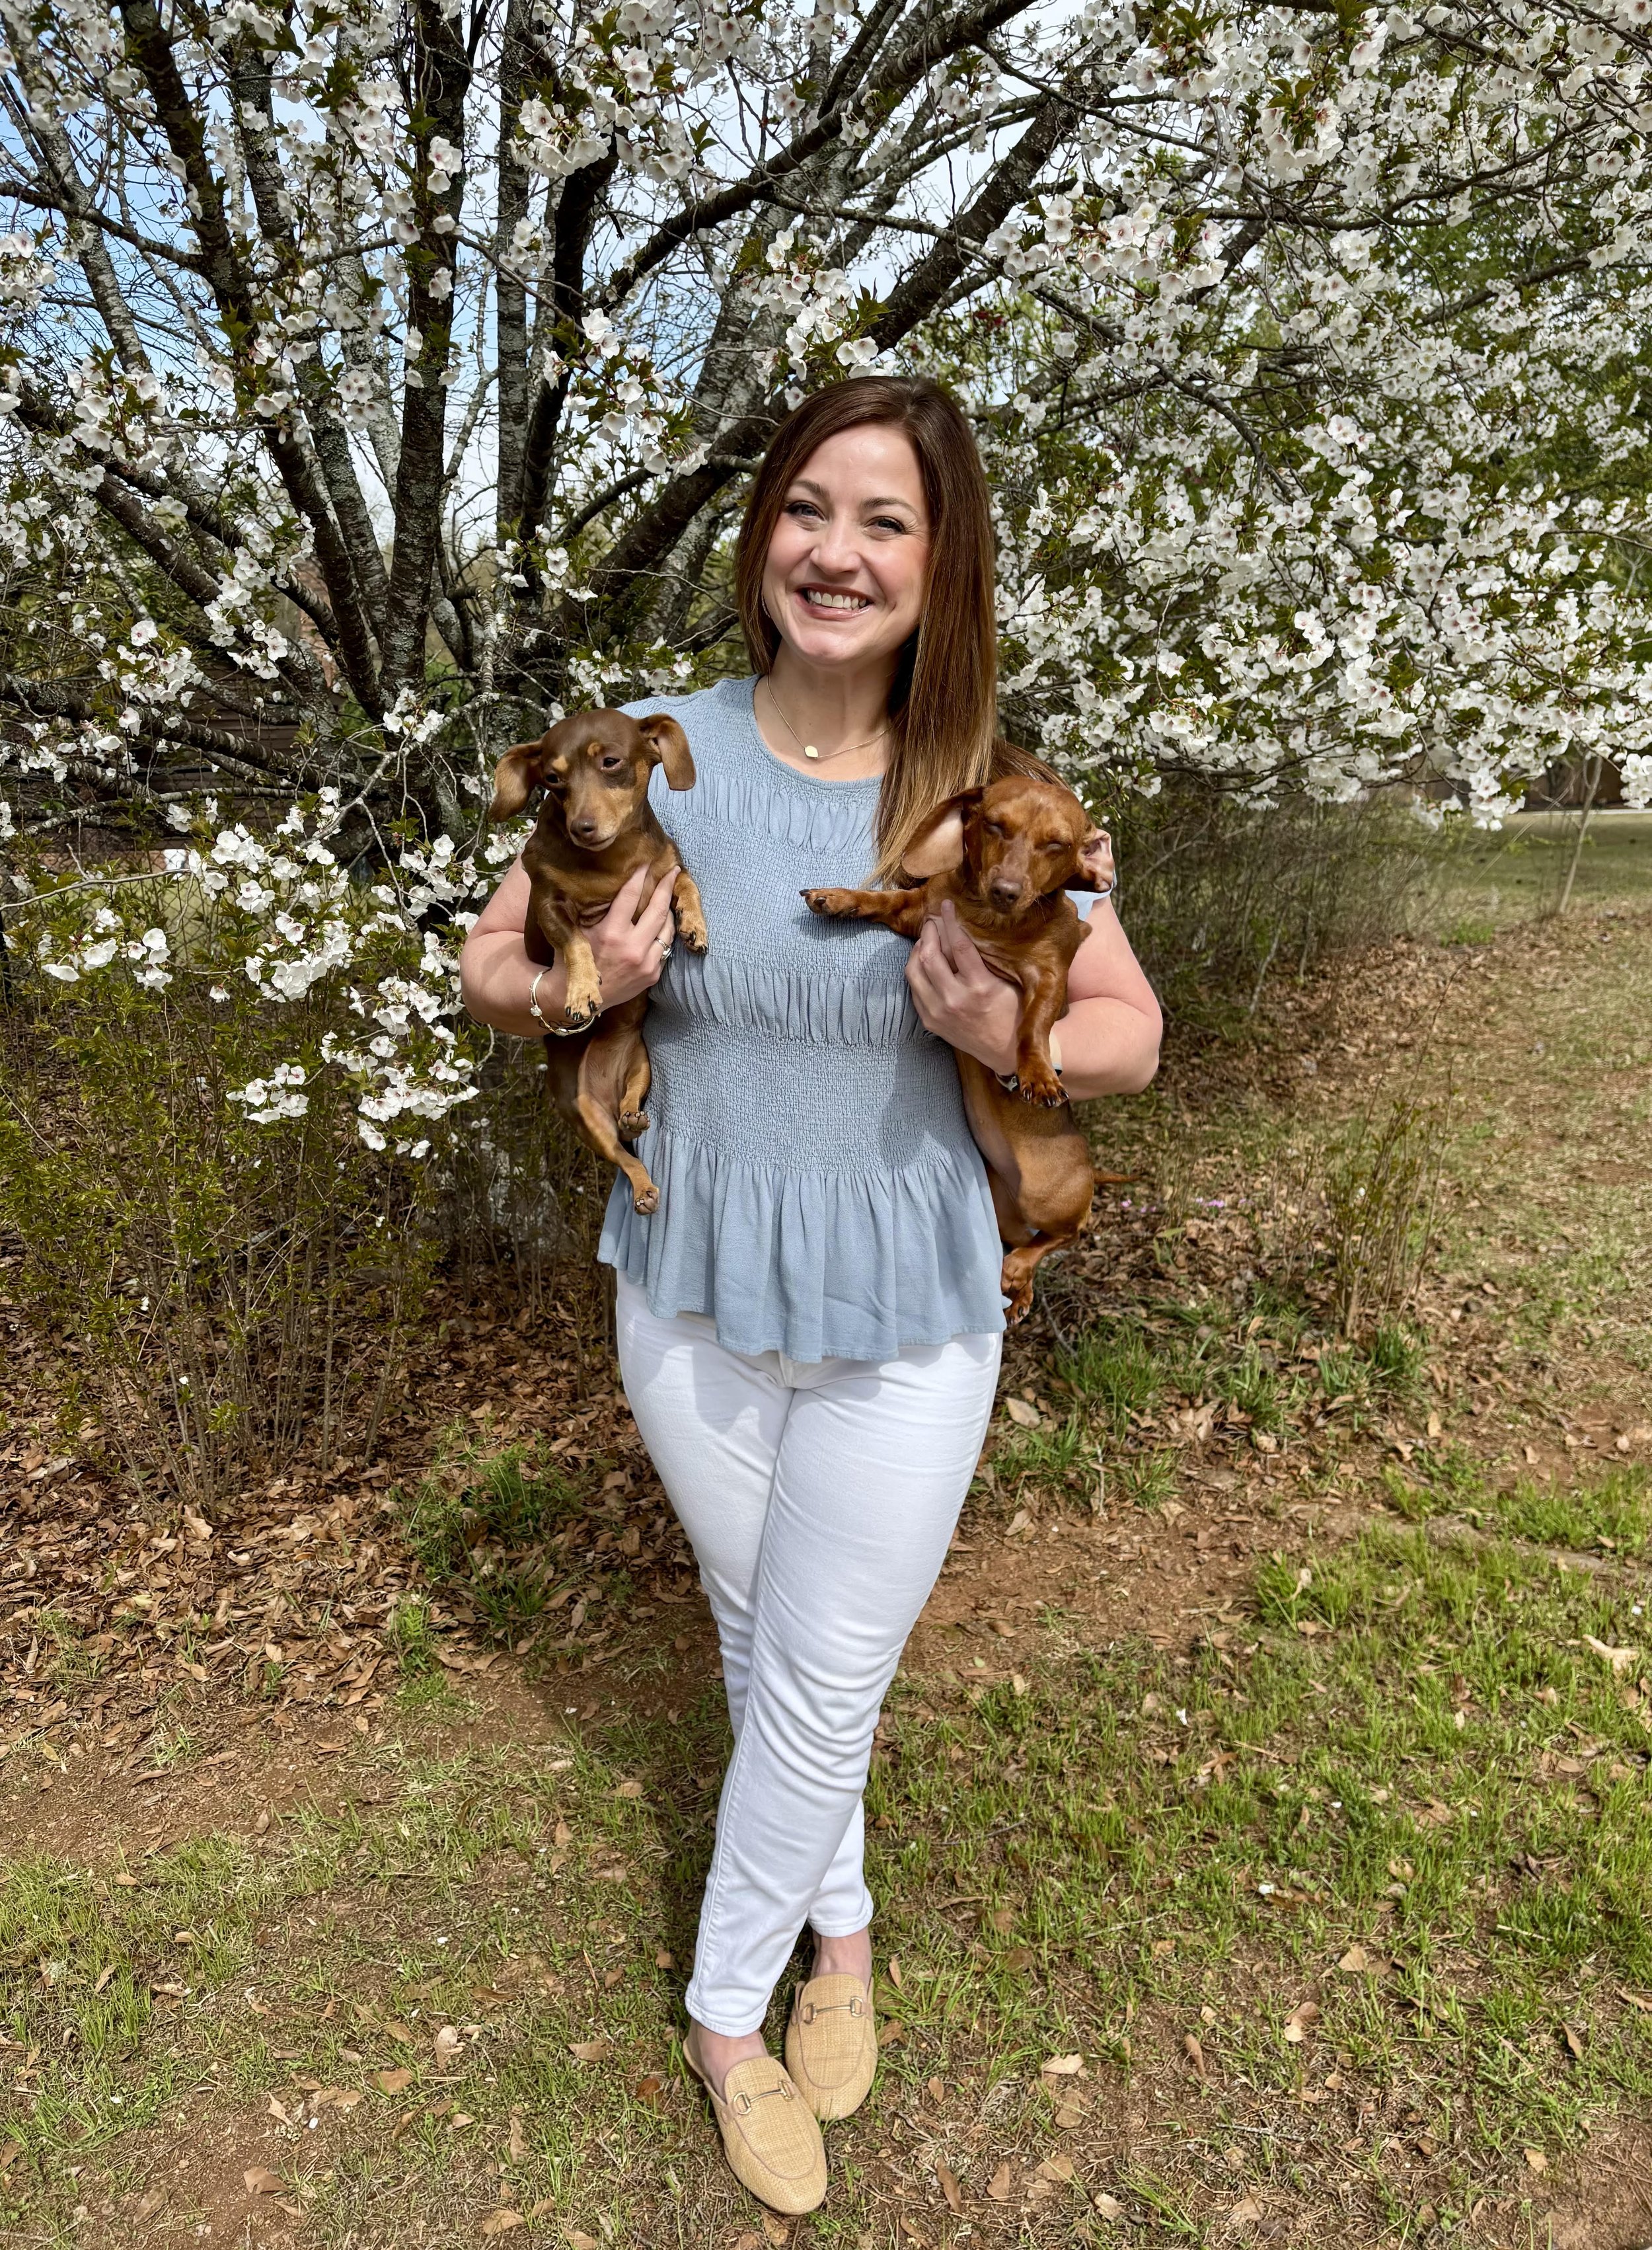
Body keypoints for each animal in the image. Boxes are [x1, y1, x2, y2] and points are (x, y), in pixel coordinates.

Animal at [489, 708, 707, 1215]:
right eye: (552, 779)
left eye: (610, 762)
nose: (581, 827)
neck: (613, 860)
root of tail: (606, 1095)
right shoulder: (549, 906)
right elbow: (576, 943)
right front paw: (582, 990)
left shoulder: (668, 871)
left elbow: (687, 884)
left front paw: (694, 925)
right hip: (585, 1117)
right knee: (624, 1160)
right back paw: (642, 1185)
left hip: (642, 1065)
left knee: (632, 1105)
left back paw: (632, 1116)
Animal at [803, 773, 1114, 1323]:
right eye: (994, 825)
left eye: (1057, 844)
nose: (1006, 891)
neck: (988, 921)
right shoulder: (918, 913)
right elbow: (882, 901)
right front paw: (838, 898)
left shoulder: (1048, 977)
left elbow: (1033, 1025)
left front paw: (1037, 1074)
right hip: (1003, 1209)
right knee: (1027, 1239)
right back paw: (1021, 1290)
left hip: (1053, 1196)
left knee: (1067, 1234)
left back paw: (1021, 1271)